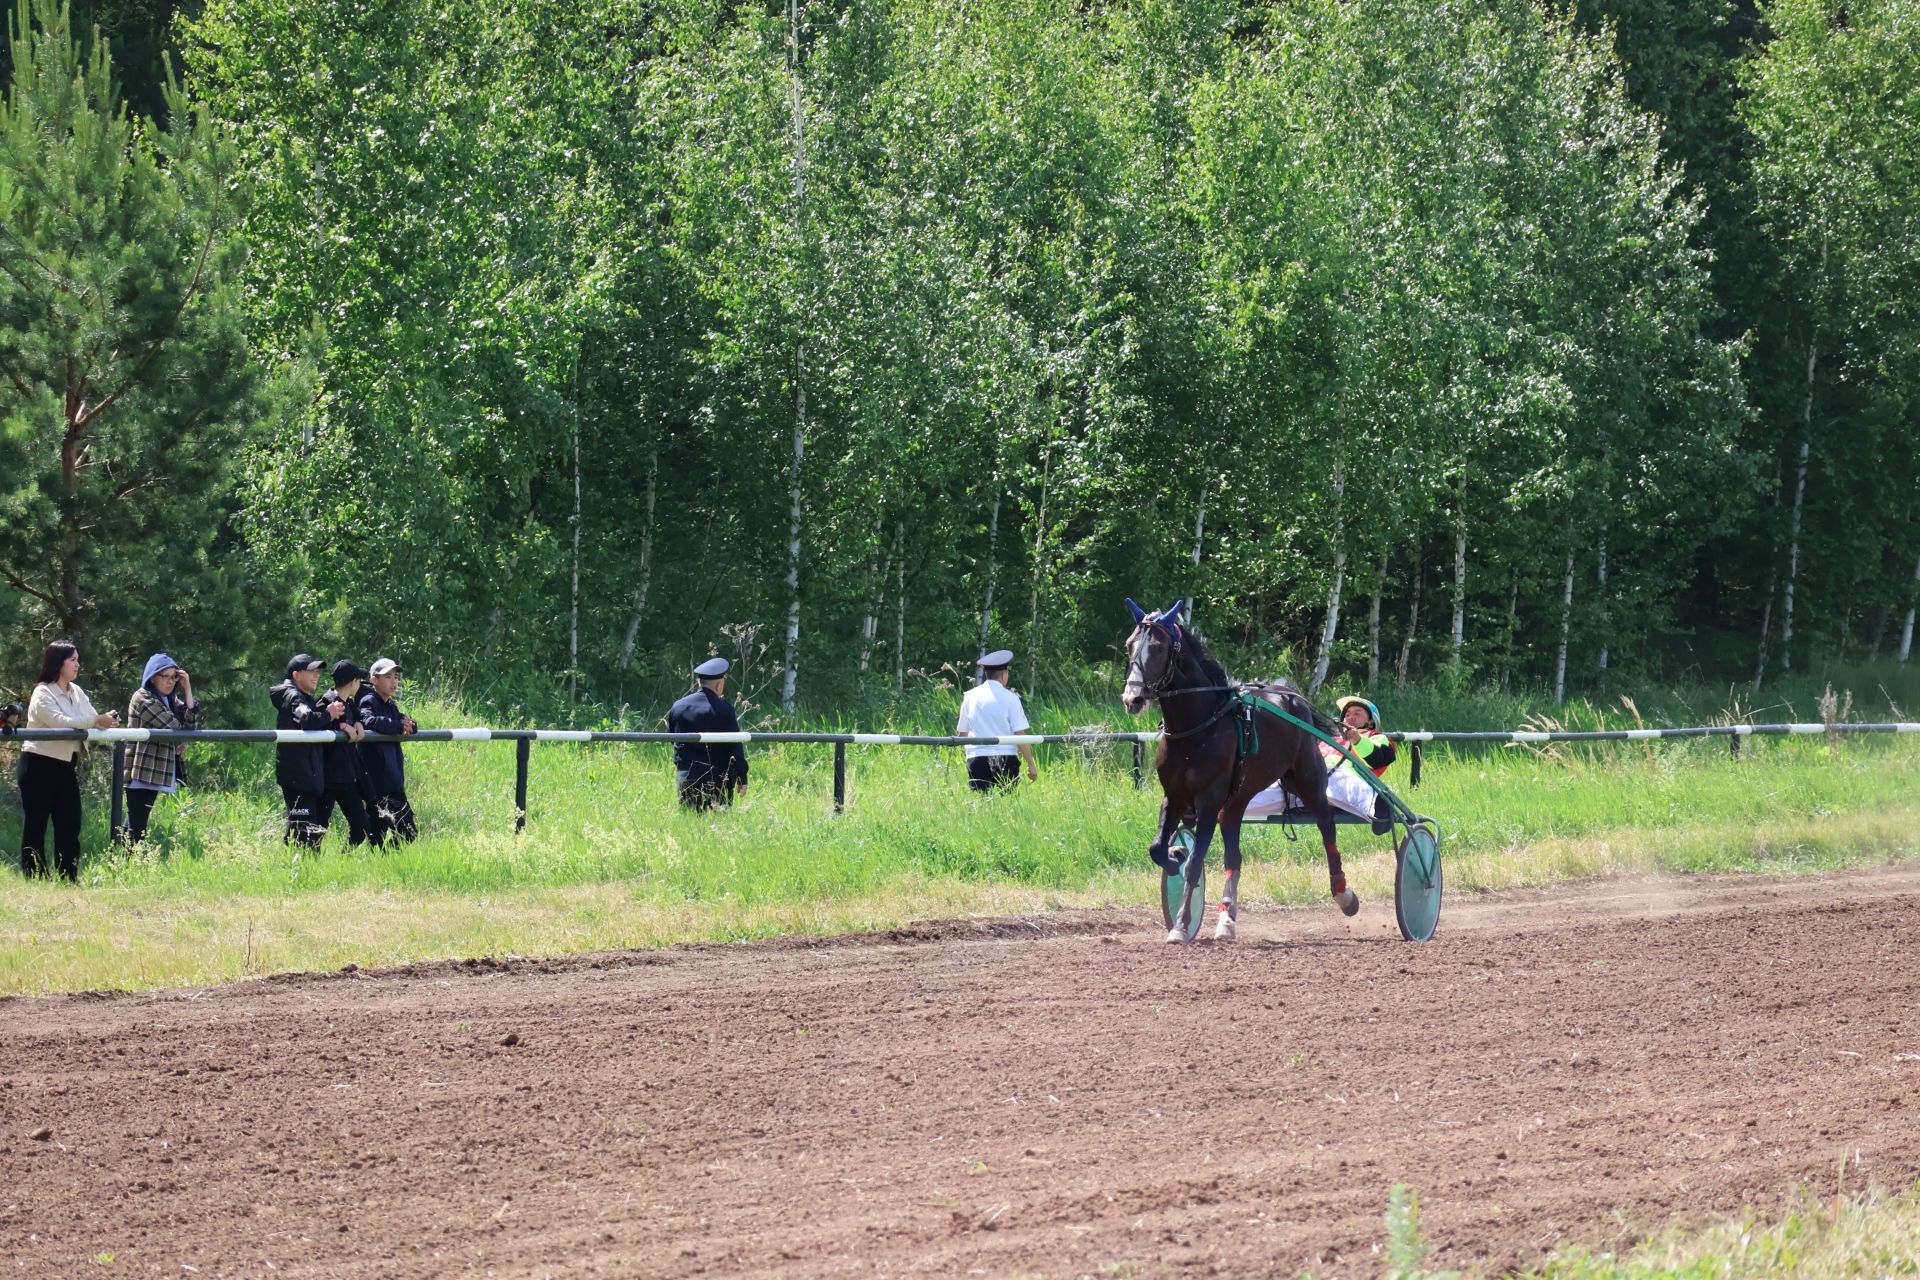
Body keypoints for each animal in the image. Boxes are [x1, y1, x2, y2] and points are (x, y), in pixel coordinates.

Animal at [1121, 598, 1359, 940]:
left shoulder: (1208, 801)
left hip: (1307, 779)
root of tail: (1290, 694)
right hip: (1238, 799)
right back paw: (1226, 920)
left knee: (1327, 825)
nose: (1133, 698)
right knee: (1235, 854)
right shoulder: (1174, 796)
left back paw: (1344, 894)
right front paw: (1174, 855)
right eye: (1130, 645)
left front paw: (1180, 925)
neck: (1197, 727)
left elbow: (1195, 864)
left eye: (1158, 647)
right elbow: (1157, 849)